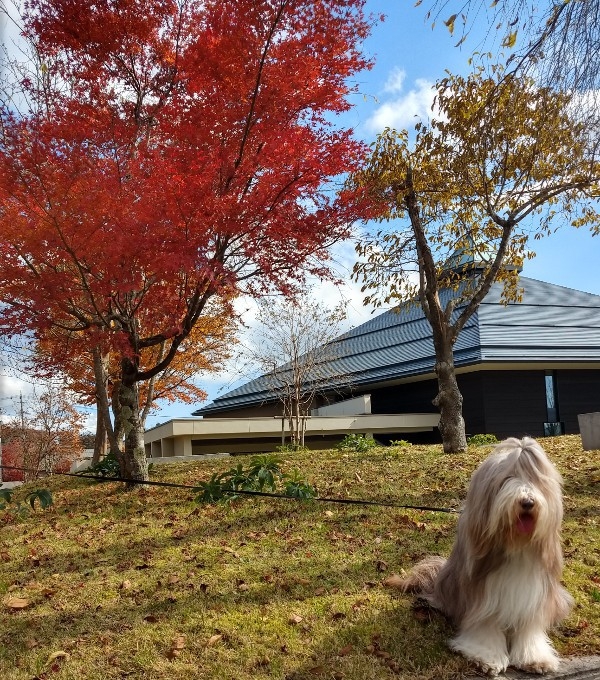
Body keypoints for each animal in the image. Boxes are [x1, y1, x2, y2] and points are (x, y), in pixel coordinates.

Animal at [396, 436, 576, 676]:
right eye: (507, 479)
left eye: (537, 480)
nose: (528, 502)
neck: (515, 545)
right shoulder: (482, 595)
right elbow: (485, 626)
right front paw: (487, 657)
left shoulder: (534, 594)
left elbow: (529, 628)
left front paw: (535, 658)